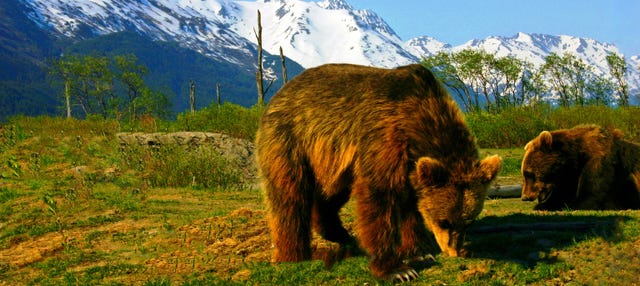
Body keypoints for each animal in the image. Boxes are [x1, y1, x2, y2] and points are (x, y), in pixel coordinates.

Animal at [254, 63, 500, 282]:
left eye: (468, 221)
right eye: (444, 221)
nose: (454, 252)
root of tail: (278, 95)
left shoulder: (410, 167)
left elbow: (411, 206)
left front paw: (419, 251)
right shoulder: (384, 138)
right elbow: (380, 199)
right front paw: (398, 270)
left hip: (332, 162)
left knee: (330, 195)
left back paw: (341, 234)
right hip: (291, 140)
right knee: (290, 197)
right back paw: (294, 254)